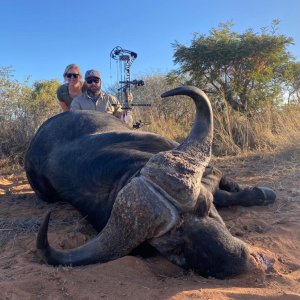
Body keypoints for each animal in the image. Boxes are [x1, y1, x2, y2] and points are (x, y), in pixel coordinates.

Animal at [24, 85, 276, 278]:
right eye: (174, 248)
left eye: (205, 208)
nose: (238, 261)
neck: (123, 173)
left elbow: (219, 184)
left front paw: (259, 193)